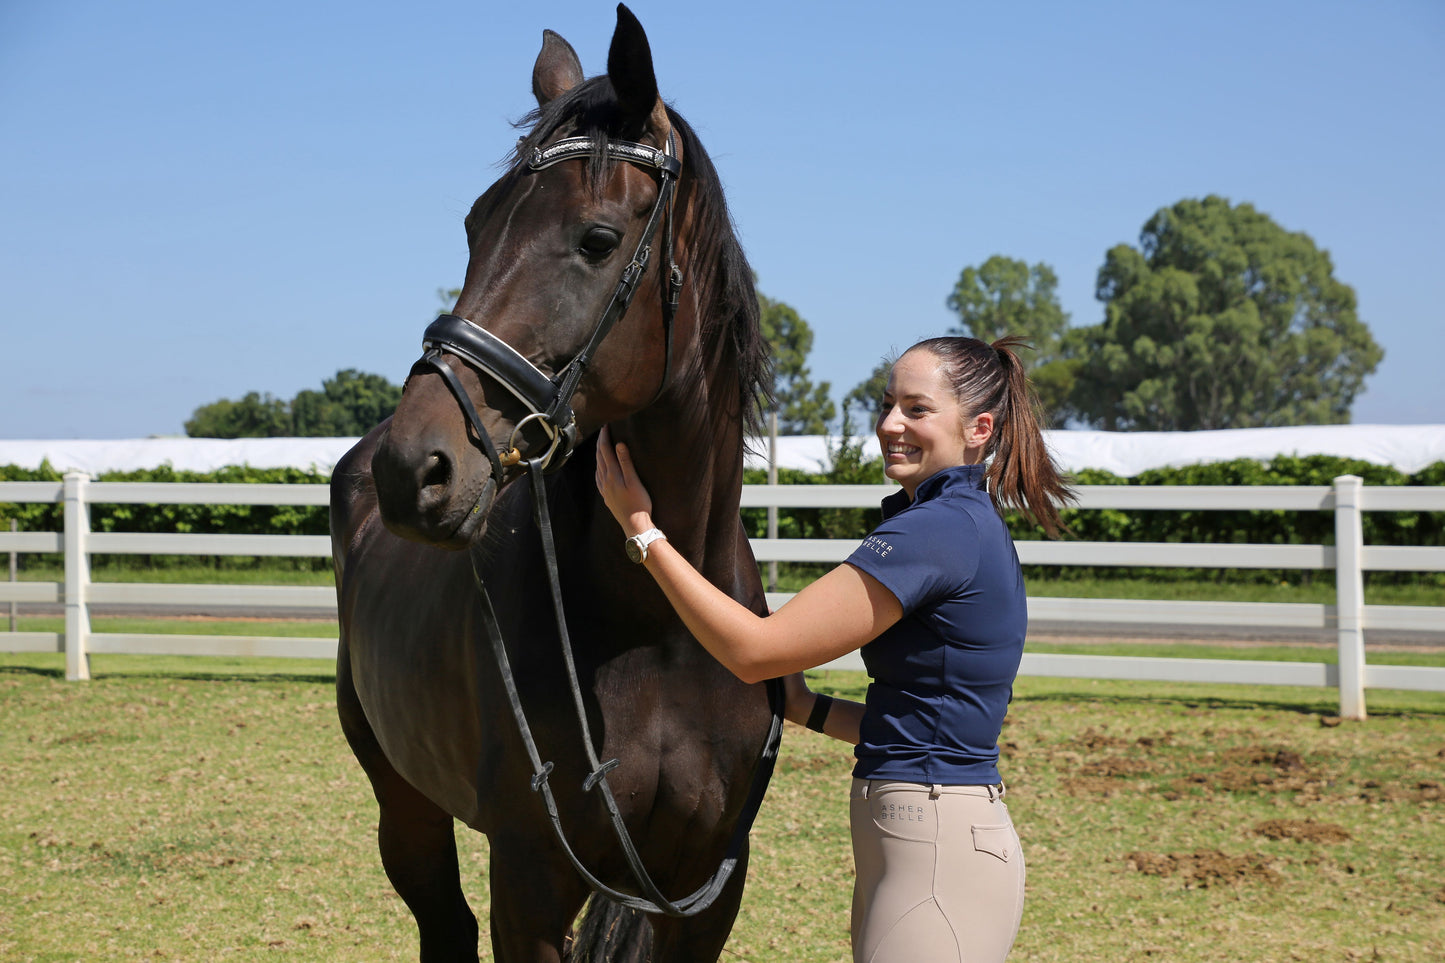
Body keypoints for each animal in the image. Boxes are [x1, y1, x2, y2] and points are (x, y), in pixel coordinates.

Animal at [330, 7, 780, 960]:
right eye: (475, 225)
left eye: (596, 240)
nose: (411, 468)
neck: (659, 630)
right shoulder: (529, 878)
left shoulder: (705, 891)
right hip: (402, 799)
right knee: (443, 923)